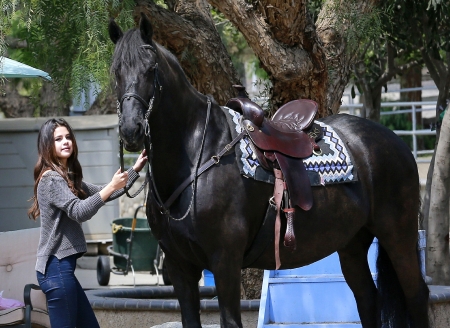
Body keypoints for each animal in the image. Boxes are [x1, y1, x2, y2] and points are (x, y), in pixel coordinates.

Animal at [108, 13, 428, 328]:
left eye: (151, 68)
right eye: (115, 71)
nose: (131, 129)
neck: (198, 154)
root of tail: (395, 142)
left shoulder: (225, 261)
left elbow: (230, 320)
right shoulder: (180, 268)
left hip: (398, 236)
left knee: (416, 296)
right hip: (351, 242)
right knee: (367, 298)